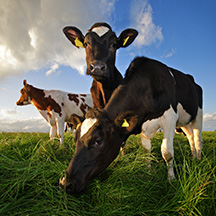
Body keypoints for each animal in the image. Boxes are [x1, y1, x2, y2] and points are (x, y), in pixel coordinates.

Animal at [59, 56, 202, 193]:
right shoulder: (144, 125)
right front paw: (148, 172)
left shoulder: (170, 117)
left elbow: (167, 153)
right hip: (184, 121)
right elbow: (146, 150)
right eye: (75, 139)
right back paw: (193, 156)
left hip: (198, 114)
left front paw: (171, 180)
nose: (66, 183)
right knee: (190, 136)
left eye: (97, 141)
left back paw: (198, 158)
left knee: (197, 137)